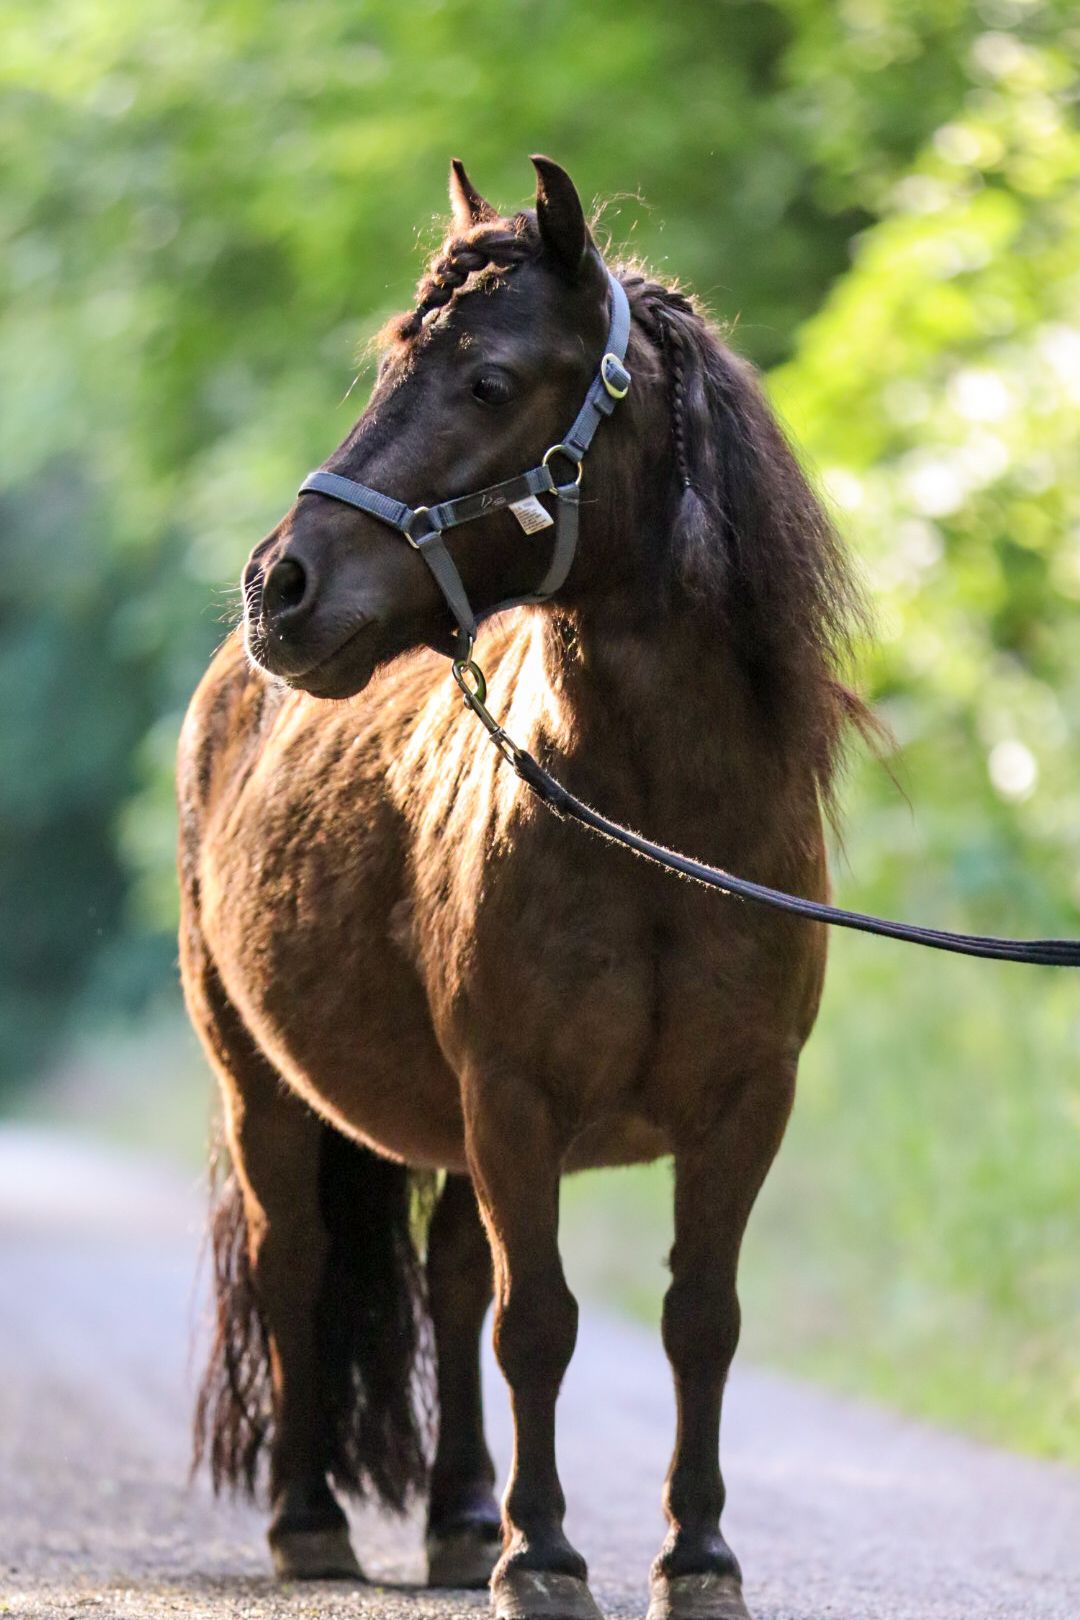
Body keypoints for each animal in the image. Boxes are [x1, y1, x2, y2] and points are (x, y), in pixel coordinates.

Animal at [178, 155, 871, 1620]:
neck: (661, 834)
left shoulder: (743, 1105)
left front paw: (697, 1554)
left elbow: (698, 1320)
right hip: (265, 1090)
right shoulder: (515, 1099)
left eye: (489, 380)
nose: (281, 586)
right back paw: (312, 1521)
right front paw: (544, 1555)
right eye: (394, 362)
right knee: (297, 1267)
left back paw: (452, 1521)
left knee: (446, 1285)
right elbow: (538, 1321)